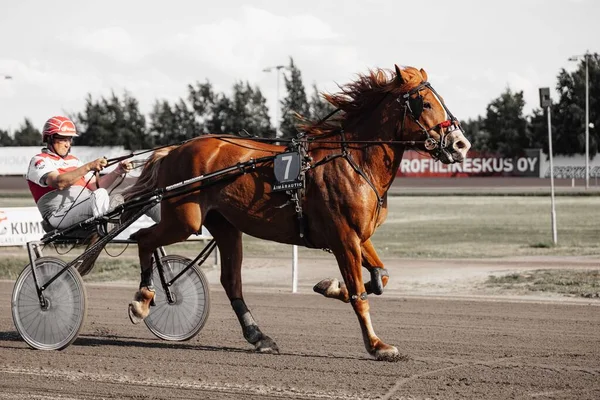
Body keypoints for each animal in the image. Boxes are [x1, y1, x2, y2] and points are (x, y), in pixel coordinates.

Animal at [123, 65, 468, 360]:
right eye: (425, 103)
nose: (460, 144)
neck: (355, 161)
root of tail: (174, 150)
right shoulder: (344, 238)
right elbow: (359, 294)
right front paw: (376, 345)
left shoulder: (359, 236)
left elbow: (380, 276)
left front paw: (330, 286)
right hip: (185, 220)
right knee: (144, 238)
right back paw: (143, 299)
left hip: (224, 225)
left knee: (230, 280)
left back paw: (258, 336)